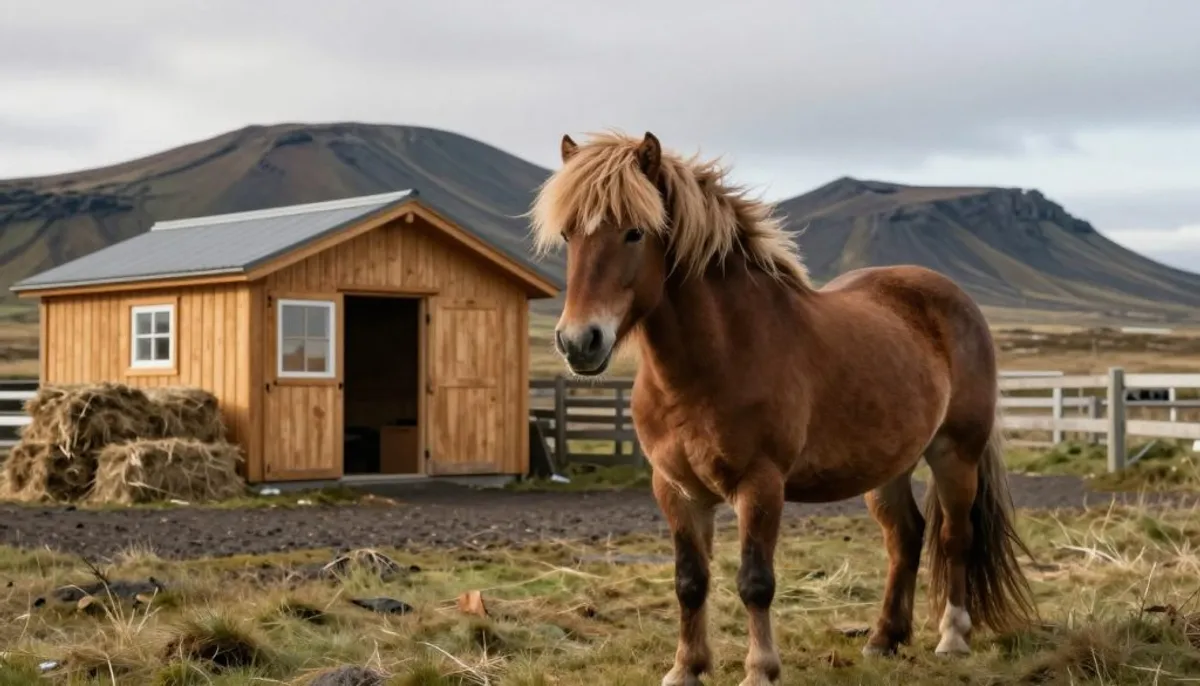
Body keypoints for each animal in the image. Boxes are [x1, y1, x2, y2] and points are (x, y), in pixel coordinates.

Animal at [527, 130, 1037, 686]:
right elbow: (690, 581)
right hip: (889, 466)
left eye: (635, 233)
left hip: (955, 454)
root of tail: (955, 299)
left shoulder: (760, 484)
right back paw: (884, 638)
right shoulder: (676, 489)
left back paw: (952, 638)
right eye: (569, 235)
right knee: (905, 538)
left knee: (954, 537)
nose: (579, 342)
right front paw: (687, 667)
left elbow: (755, 581)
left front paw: (760, 670)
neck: (714, 361)